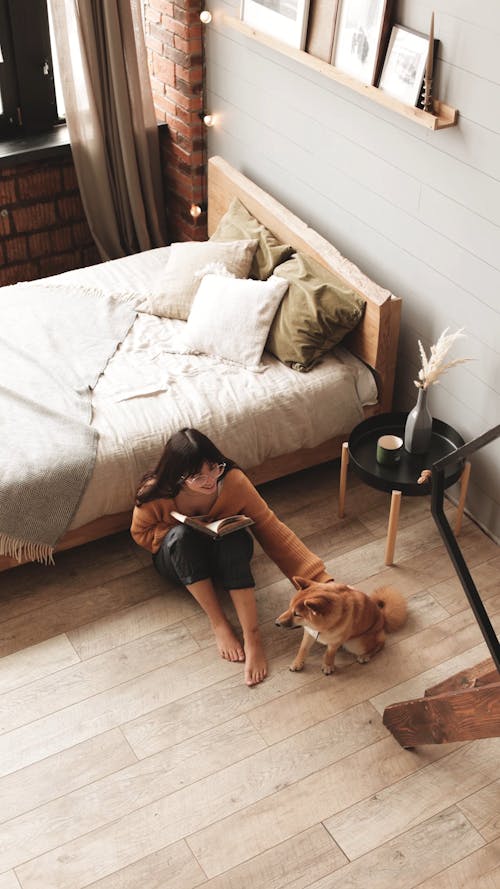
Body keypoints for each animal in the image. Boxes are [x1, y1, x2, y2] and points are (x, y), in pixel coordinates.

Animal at [276, 576, 408, 672]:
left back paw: (365, 655)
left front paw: (328, 666)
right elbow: (302, 649)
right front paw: (297, 663)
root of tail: (382, 617)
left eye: (297, 614)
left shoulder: (335, 643)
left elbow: (329, 654)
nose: (276, 623)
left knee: (381, 643)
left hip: (356, 643)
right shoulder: (309, 634)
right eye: (289, 607)